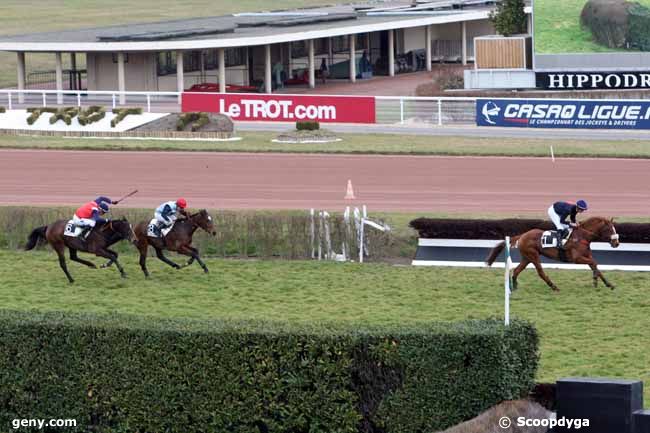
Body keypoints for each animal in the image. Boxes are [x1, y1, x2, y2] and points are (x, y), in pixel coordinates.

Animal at [484, 218, 620, 292]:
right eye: (610, 229)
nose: (616, 243)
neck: (582, 236)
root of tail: (523, 235)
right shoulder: (577, 259)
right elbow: (594, 264)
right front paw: (595, 281)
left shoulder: (587, 256)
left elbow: (595, 266)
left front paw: (609, 284)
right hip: (533, 256)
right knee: (540, 272)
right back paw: (554, 287)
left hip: (527, 257)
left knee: (517, 270)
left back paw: (515, 286)